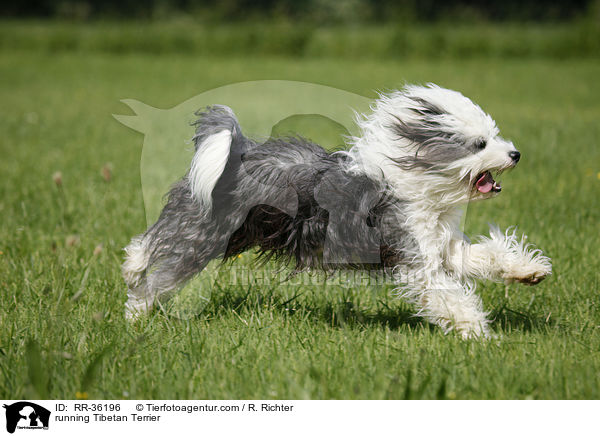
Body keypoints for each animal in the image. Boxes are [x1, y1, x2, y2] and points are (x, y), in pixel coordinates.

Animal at [122, 84, 552, 338]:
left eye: (493, 136)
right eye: (480, 144)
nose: (515, 154)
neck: (418, 183)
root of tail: (236, 153)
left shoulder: (440, 246)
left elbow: (485, 256)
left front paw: (529, 270)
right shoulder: (414, 257)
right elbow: (443, 291)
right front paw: (475, 328)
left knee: (155, 243)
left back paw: (133, 277)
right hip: (205, 231)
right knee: (160, 258)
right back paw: (134, 308)